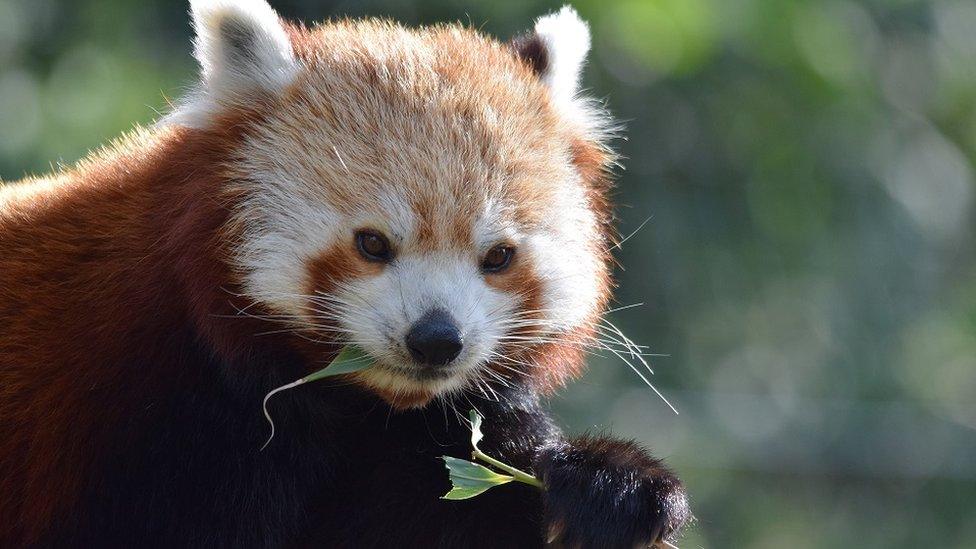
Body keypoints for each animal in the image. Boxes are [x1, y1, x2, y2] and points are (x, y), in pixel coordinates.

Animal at [0, 2, 692, 544]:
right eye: (372, 244)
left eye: (497, 256)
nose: (436, 340)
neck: (355, 406)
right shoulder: (148, 421)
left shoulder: (427, 442)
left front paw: (612, 485)